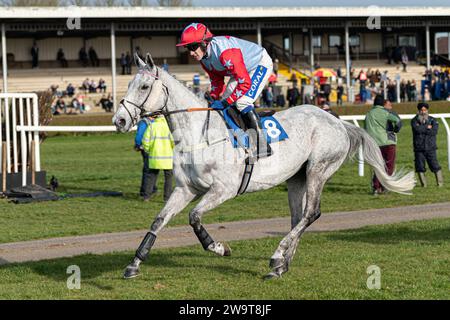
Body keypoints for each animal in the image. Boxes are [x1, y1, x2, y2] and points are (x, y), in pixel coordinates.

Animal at [112, 53, 414, 278]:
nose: (120, 120)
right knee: (298, 217)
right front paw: (134, 264)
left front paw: (219, 247)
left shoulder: (223, 189)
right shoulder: (185, 189)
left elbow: (194, 217)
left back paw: (277, 255)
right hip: (296, 177)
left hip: (318, 169)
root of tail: (337, 121)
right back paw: (281, 265)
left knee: (311, 213)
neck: (199, 134)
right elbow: (159, 221)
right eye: (129, 84)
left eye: (143, 86)